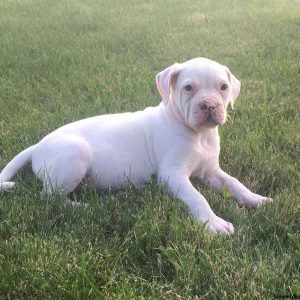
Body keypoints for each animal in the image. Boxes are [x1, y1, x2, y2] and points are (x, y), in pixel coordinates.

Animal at [0, 56, 272, 234]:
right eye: (188, 88)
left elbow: (234, 183)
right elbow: (198, 197)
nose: (209, 106)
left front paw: (256, 199)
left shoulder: (211, 171)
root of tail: (37, 145)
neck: (198, 135)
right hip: (74, 154)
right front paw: (214, 223)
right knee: (49, 198)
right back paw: (84, 208)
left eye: (223, 87)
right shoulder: (172, 176)